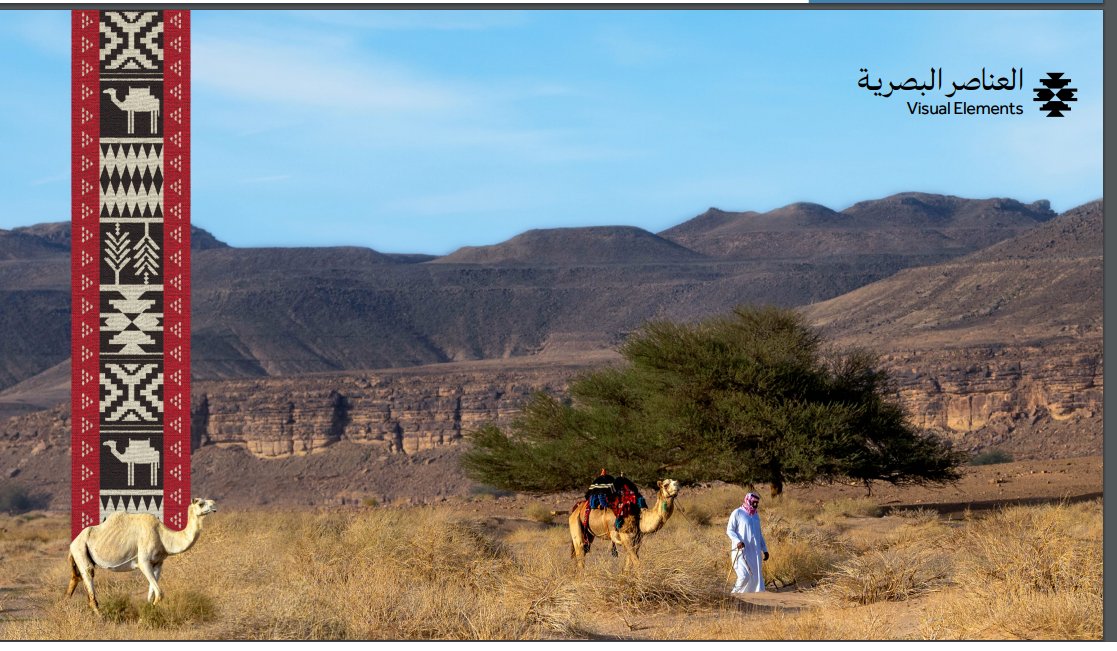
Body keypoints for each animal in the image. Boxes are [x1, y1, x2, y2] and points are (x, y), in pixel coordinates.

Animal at [66, 498, 217, 614]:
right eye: (201, 503)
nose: (214, 504)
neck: (163, 536)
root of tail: (72, 543)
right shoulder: (143, 561)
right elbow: (159, 594)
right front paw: (146, 616)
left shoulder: (158, 563)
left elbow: (152, 594)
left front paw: (149, 612)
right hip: (80, 551)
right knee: (88, 576)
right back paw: (100, 617)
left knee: (76, 579)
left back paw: (65, 604)